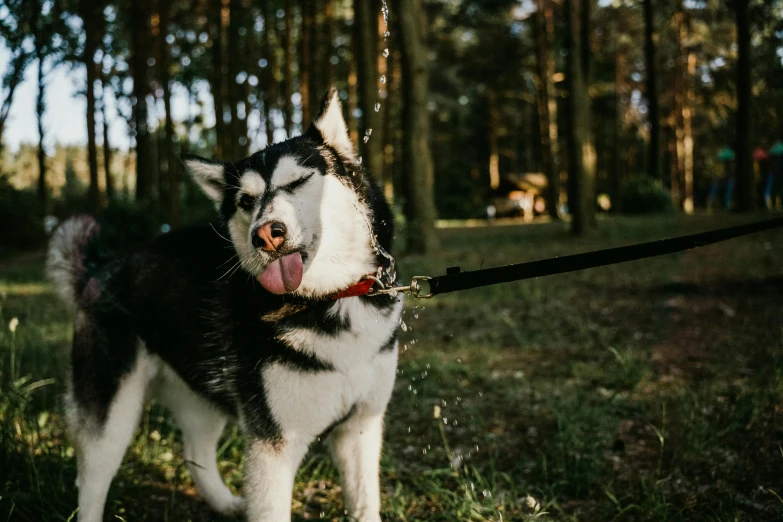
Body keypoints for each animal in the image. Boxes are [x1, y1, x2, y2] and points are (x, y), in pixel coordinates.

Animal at [47, 90, 404, 520]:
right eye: (246, 201)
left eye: (298, 181)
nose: (265, 235)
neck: (330, 299)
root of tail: (100, 268)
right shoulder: (273, 446)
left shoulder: (360, 428)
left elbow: (365, 503)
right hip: (111, 415)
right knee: (91, 483)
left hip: (200, 398)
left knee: (195, 453)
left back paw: (224, 502)